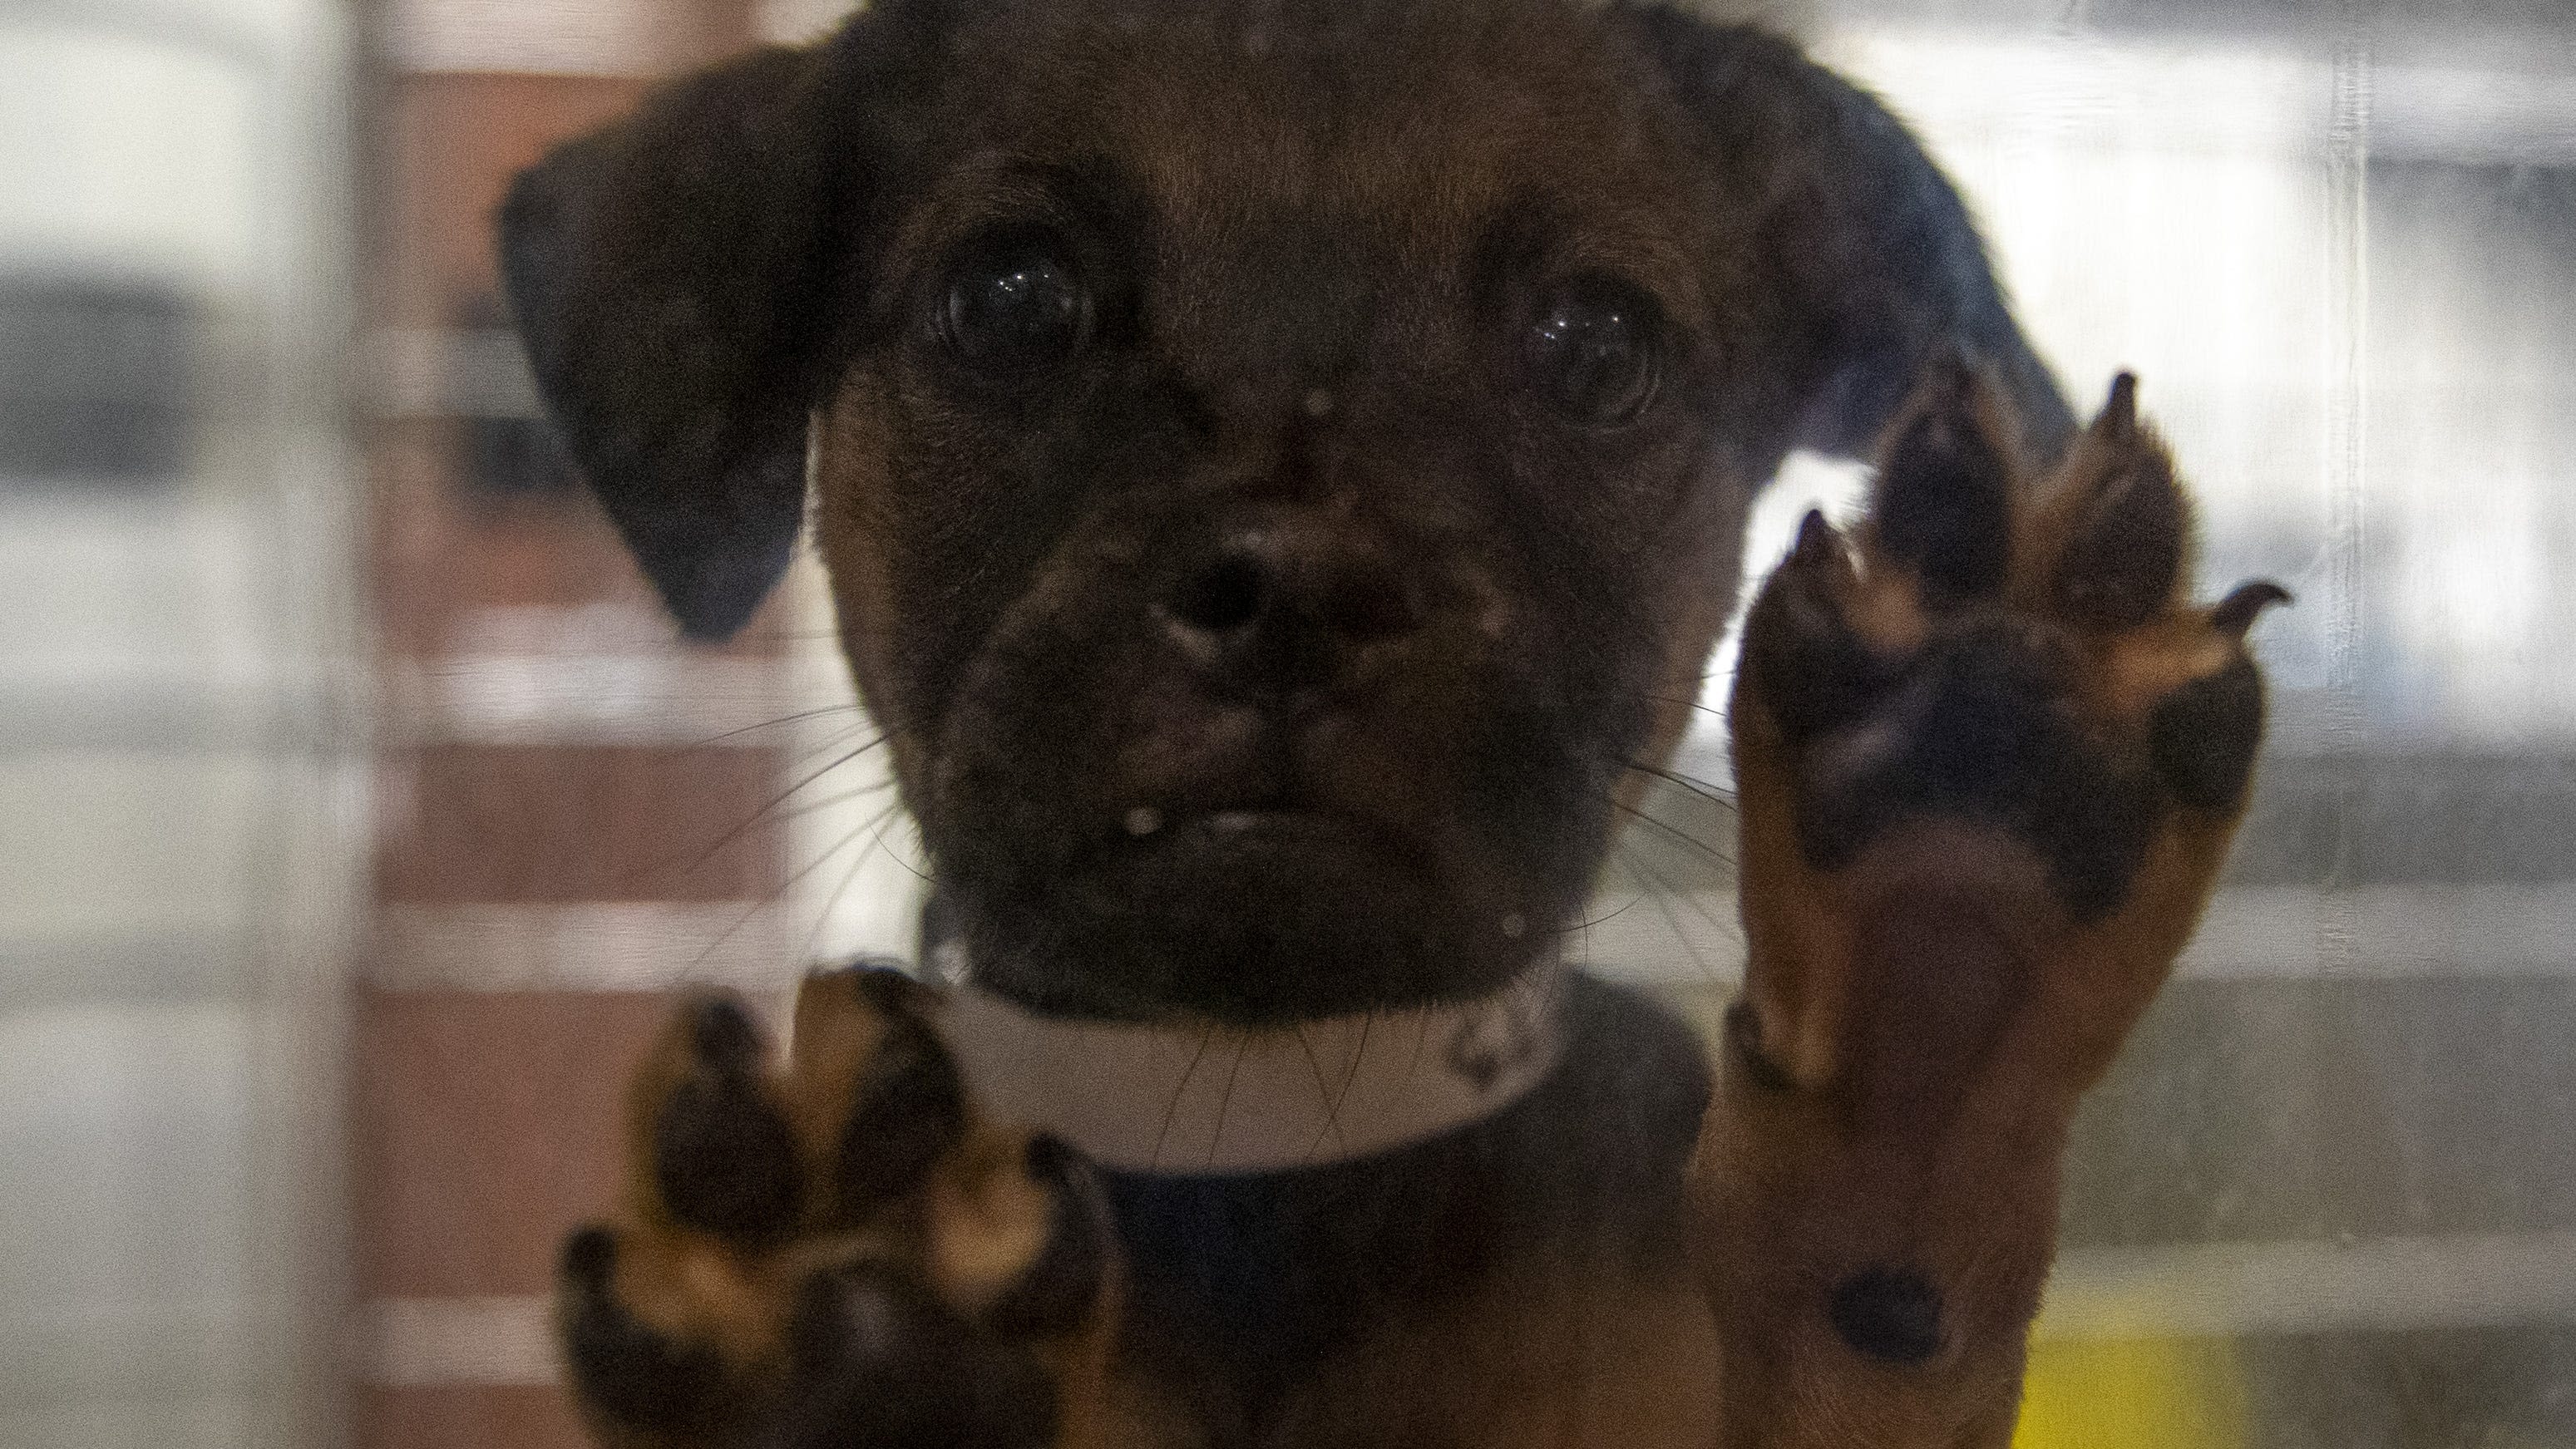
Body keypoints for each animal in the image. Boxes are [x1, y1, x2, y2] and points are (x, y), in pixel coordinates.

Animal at [496, 0, 2277, 1441]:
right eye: (1008, 299)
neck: (1276, 1135)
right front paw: (847, 1335)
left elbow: (1875, 1327)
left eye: (1596, 343)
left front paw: (1940, 957)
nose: (1296, 587)